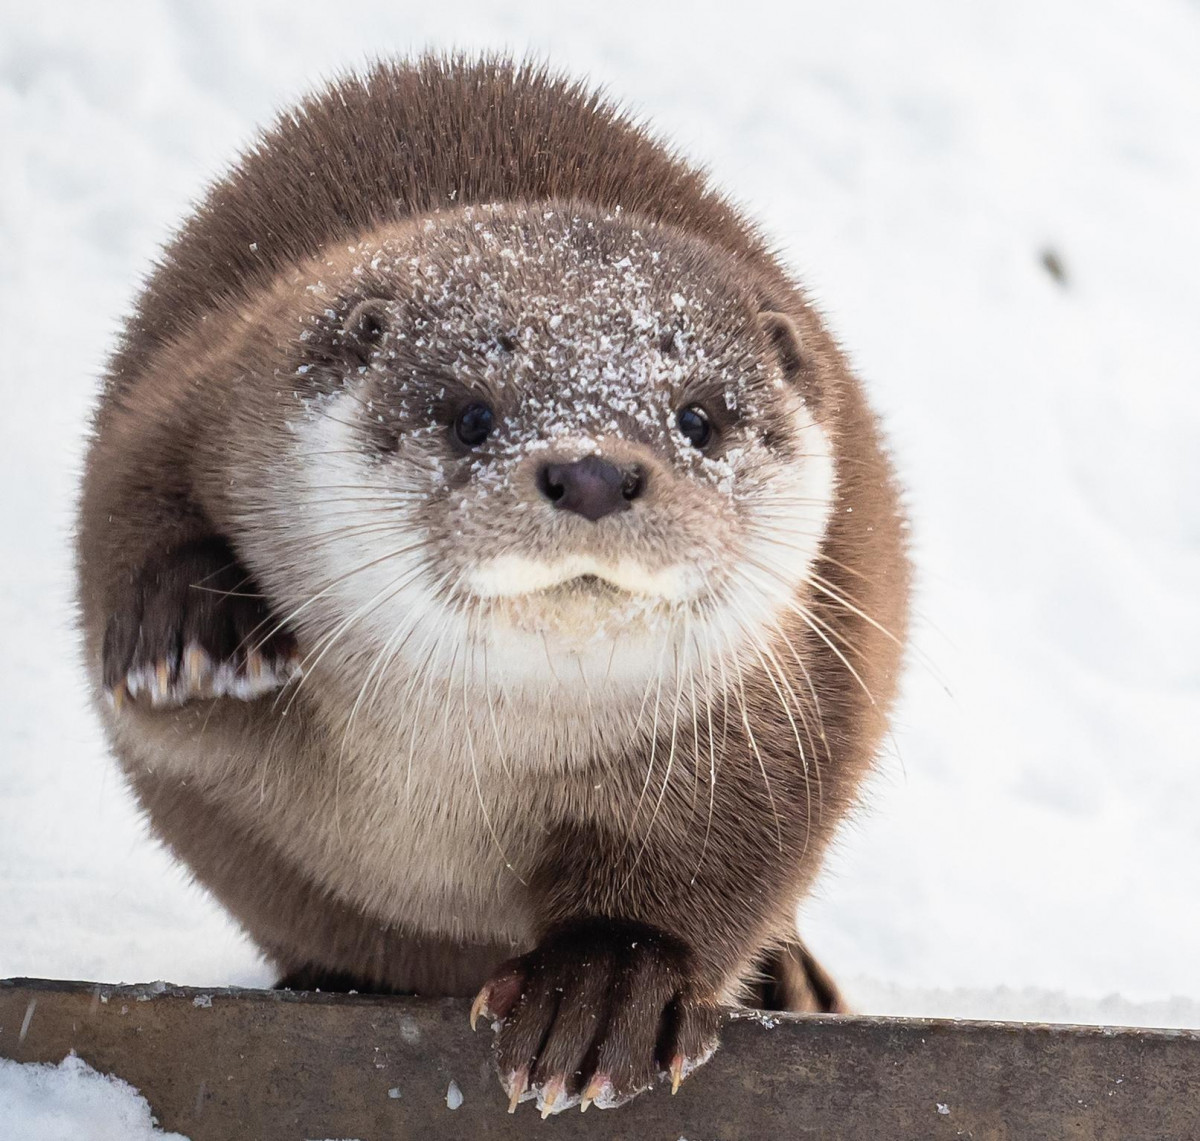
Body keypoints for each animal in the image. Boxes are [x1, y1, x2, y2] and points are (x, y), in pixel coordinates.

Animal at [75, 55, 907, 1113]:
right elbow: (134, 548)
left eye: (698, 419)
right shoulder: (207, 388)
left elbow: (731, 853)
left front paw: (605, 990)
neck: (455, 767)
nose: (592, 470)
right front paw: (191, 633)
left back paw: (793, 982)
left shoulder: (786, 700)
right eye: (471, 415)